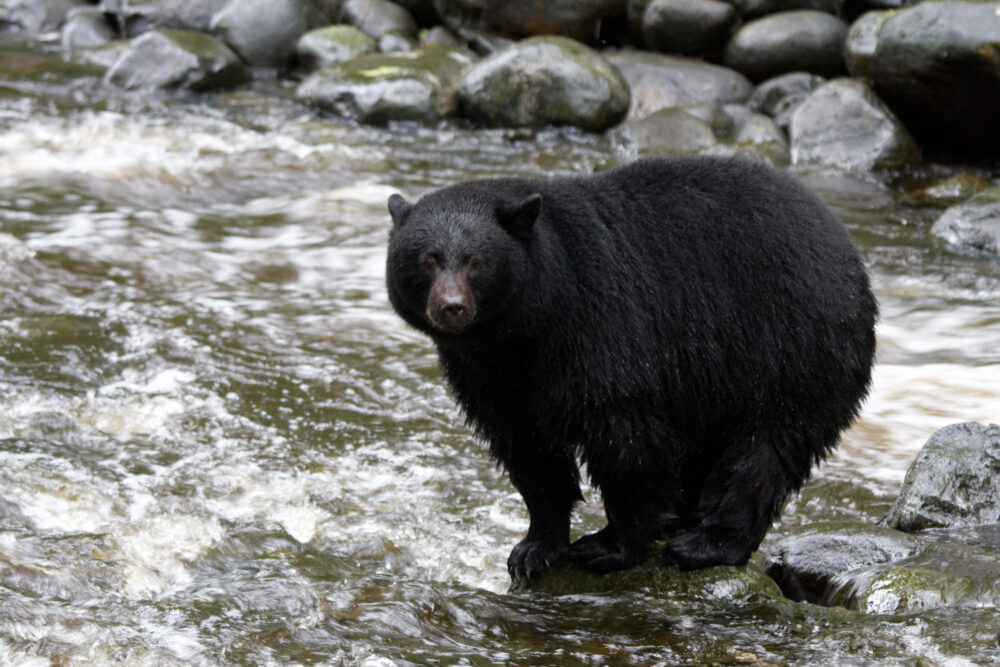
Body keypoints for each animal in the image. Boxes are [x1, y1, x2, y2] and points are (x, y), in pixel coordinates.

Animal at [385, 156, 877, 582]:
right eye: (428, 259)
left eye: (476, 261)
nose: (451, 307)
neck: (526, 330)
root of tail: (846, 246)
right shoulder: (491, 377)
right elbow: (527, 450)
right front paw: (533, 548)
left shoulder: (604, 324)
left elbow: (625, 437)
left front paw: (610, 546)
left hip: (792, 344)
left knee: (767, 448)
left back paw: (708, 542)